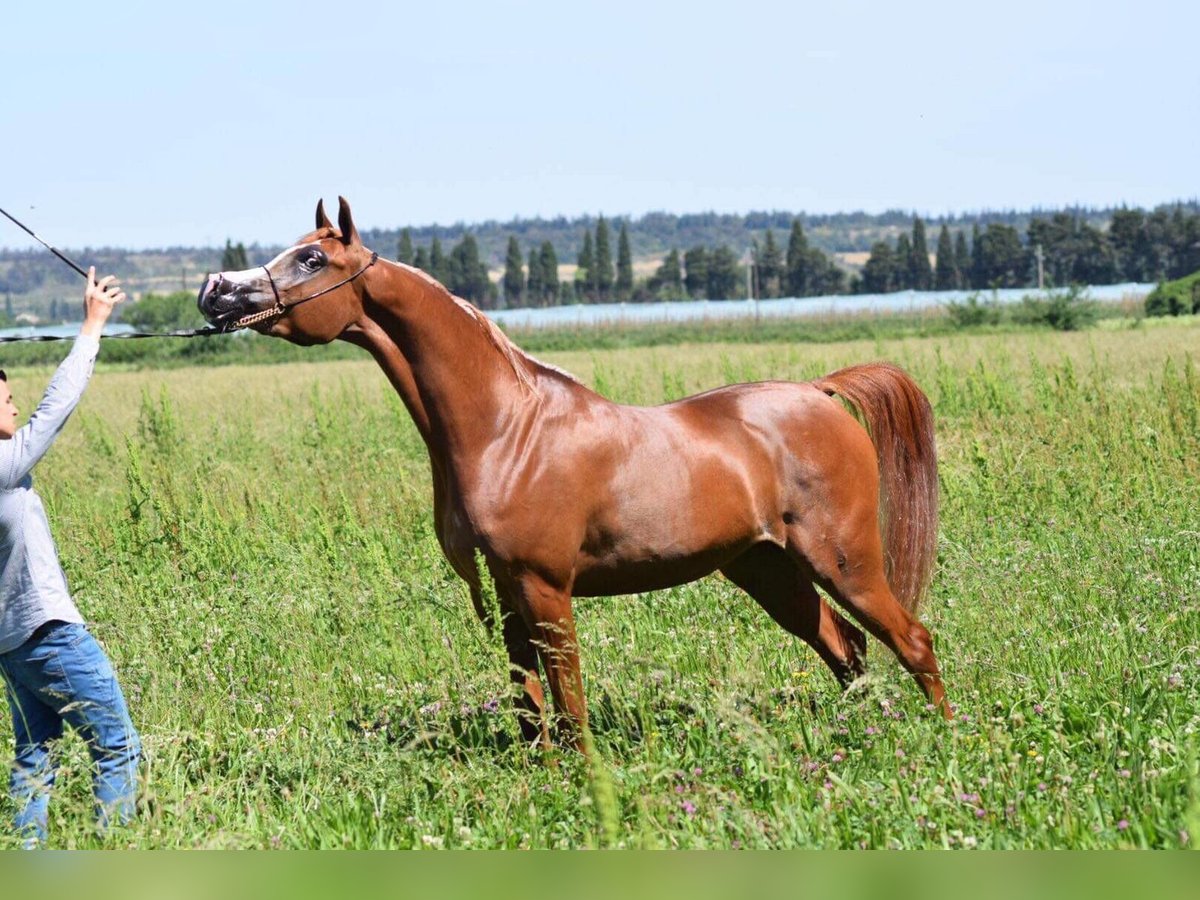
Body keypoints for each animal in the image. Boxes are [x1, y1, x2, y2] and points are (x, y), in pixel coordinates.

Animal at [198, 197, 949, 751]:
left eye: (313, 257)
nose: (216, 293)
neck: (507, 430)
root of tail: (820, 392)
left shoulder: (547, 588)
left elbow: (569, 701)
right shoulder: (507, 593)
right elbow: (531, 705)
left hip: (843, 560)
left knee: (910, 641)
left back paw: (946, 739)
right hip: (766, 568)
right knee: (845, 647)